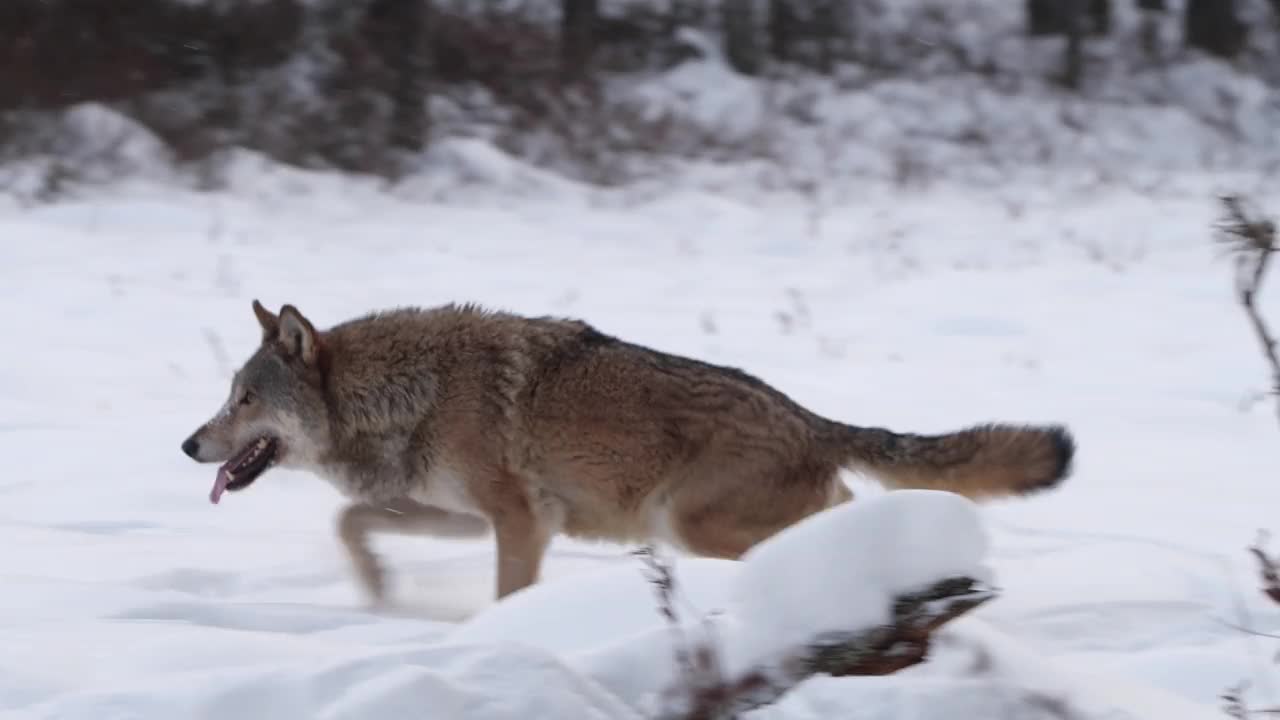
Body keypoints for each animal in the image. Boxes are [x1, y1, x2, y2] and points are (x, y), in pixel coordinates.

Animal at [180, 299, 1075, 602]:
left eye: (244, 398)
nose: (188, 443)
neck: (409, 394)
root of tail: (807, 415)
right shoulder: (469, 516)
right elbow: (351, 525)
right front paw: (378, 591)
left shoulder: (520, 523)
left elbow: (507, 597)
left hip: (688, 524)